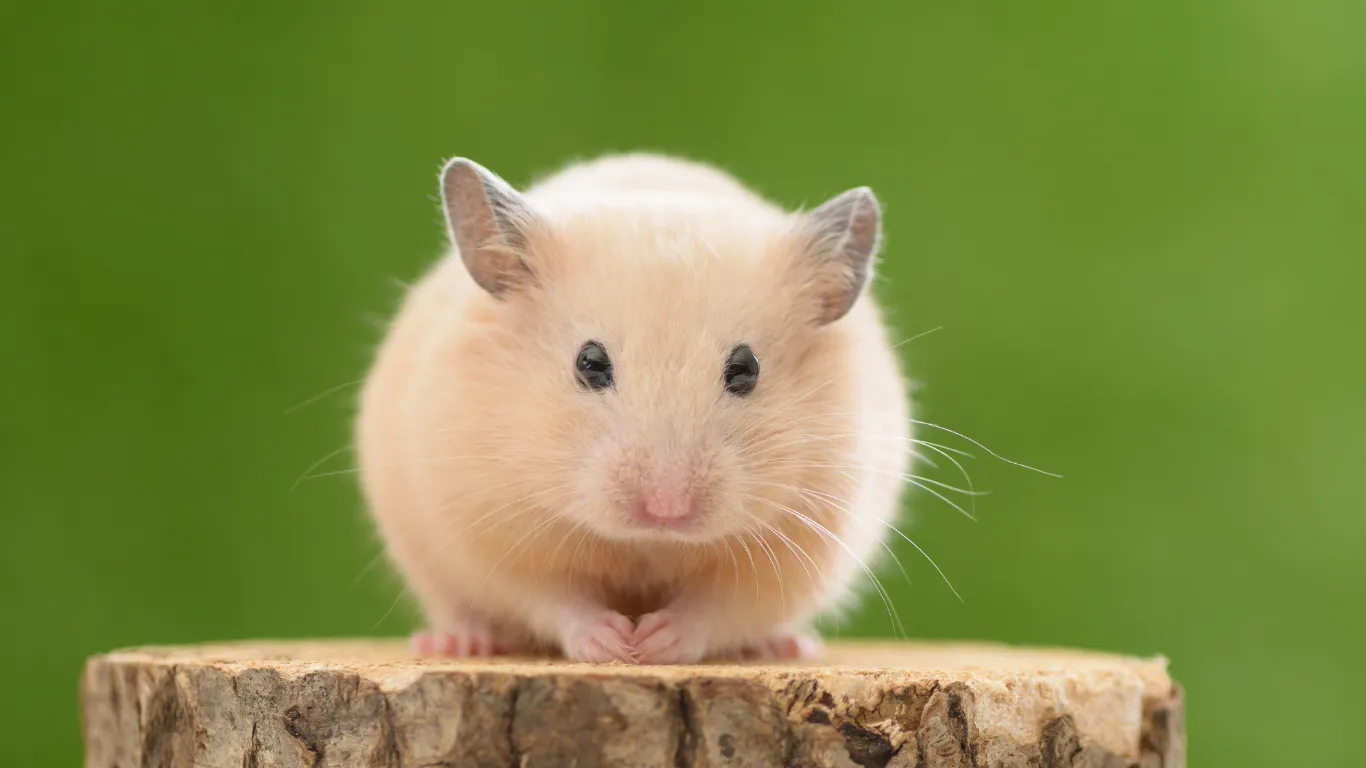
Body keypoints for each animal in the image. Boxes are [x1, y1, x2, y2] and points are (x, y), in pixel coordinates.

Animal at [355, 153, 912, 663]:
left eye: (746, 368)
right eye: (589, 362)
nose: (667, 508)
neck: (648, 545)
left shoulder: (798, 550)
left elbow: (715, 608)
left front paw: (653, 644)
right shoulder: (488, 533)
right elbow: (555, 599)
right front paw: (615, 644)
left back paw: (787, 646)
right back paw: (460, 642)